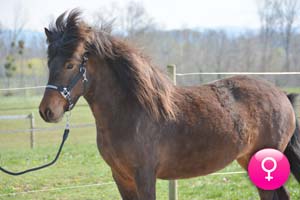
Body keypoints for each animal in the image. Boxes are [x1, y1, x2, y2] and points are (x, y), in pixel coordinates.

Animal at [39, 9, 300, 200]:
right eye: (49, 63)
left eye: (70, 64)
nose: (47, 111)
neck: (131, 114)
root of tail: (282, 95)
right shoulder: (121, 177)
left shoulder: (144, 176)